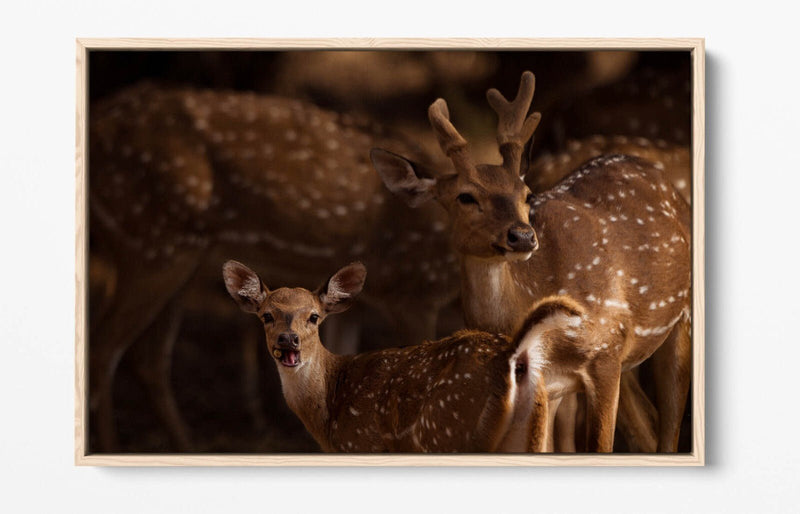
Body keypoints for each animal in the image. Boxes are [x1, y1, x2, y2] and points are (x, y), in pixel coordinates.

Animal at [88, 82, 460, 451]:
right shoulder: (411, 291)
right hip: (153, 244)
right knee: (105, 347)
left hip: (175, 258)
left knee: (149, 358)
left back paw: (189, 445)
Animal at [222, 259, 603, 453]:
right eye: (266, 315)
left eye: (314, 316)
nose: (289, 341)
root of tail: (512, 355)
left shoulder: (363, 445)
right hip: (532, 432)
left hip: (450, 433)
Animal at [370, 71, 692, 452]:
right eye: (466, 197)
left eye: (525, 194)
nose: (522, 236)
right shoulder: (546, 386)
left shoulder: (606, 353)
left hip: (680, 318)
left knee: (668, 429)